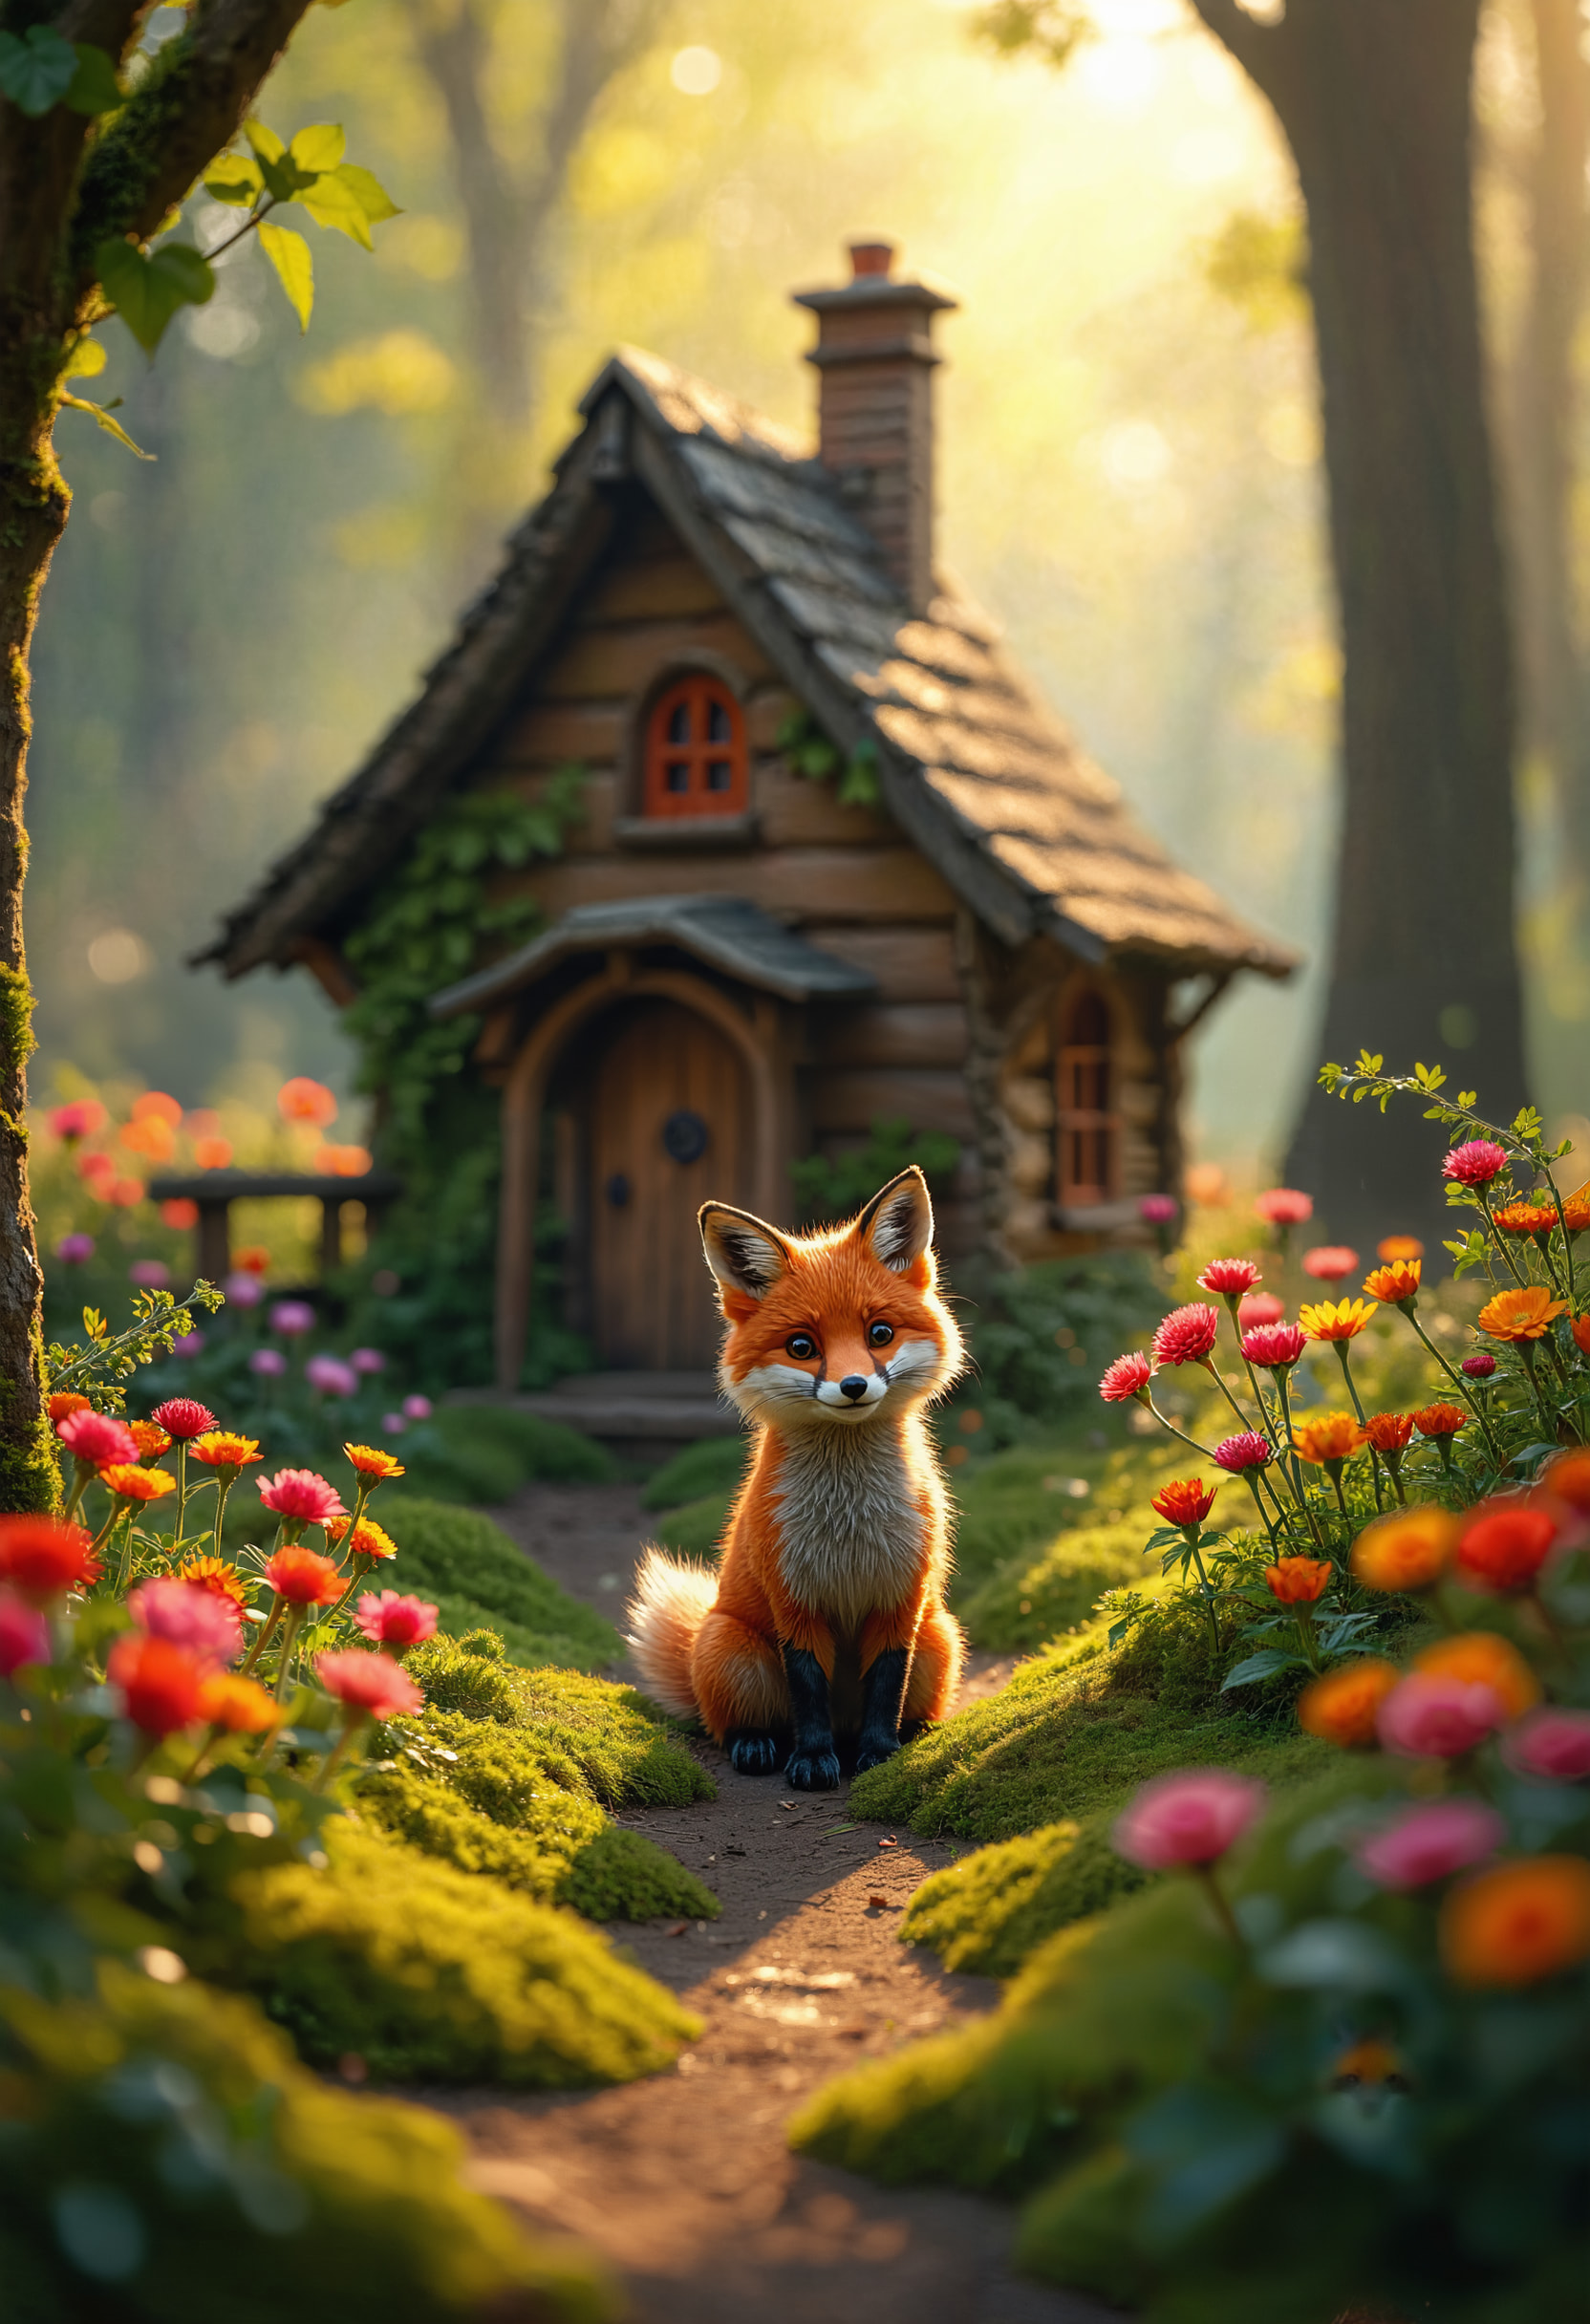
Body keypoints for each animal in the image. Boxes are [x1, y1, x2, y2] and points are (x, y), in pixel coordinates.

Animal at [625, 1166, 967, 1791]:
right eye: (802, 1347)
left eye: (879, 1334)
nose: (853, 1386)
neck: (849, 1522)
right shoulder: (794, 1597)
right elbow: (808, 1689)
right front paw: (811, 1760)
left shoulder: (900, 1597)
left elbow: (888, 1685)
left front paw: (880, 1755)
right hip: (733, 1648)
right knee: (734, 1726)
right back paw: (758, 1745)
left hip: (940, 1636)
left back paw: (912, 1735)